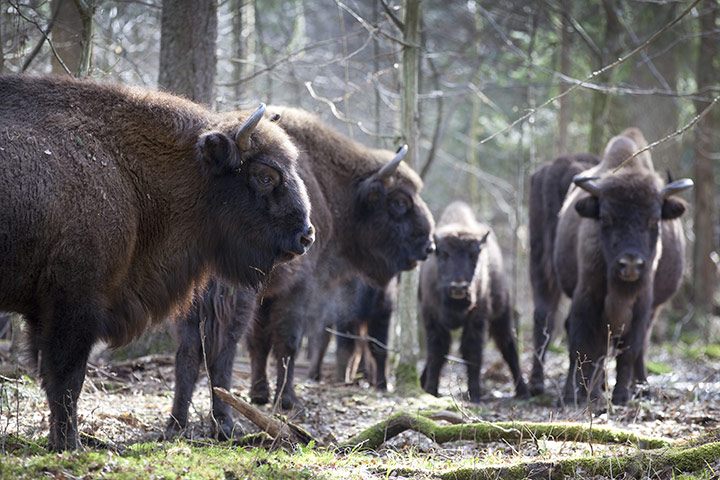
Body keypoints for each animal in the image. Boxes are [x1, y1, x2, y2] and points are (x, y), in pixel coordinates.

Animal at [1, 75, 314, 450]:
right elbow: (66, 378)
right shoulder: (75, 304)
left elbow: (53, 379)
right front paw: (68, 444)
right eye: (265, 176)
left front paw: (61, 441)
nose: (306, 236)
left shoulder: (44, 312)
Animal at [167, 108, 434, 438]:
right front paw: (287, 400)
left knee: (189, 349)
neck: (334, 190)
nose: (429, 245)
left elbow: (261, 343)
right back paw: (224, 423)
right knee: (225, 346)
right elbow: (287, 343)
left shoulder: (267, 294)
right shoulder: (298, 288)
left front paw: (260, 395)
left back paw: (176, 423)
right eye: (398, 202)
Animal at [416, 201, 528, 404]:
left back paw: (523, 391)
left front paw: (474, 394)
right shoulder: (432, 318)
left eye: (473, 255)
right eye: (444, 254)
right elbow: (436, 351)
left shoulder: (477, 319)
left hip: (502, 315)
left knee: (508, 346)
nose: (459, 287)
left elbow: (472, 352)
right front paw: (430, 390)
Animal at [528, 128, 692, 404]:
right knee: (553, 321)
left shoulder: (642, 302)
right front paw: (583, 394)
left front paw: (620, 394)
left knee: (547, 318)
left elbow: (628, 347)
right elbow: (586, 343)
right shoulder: (588, 294)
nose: (631, 264)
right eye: (605, 218)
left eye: (654, 219)